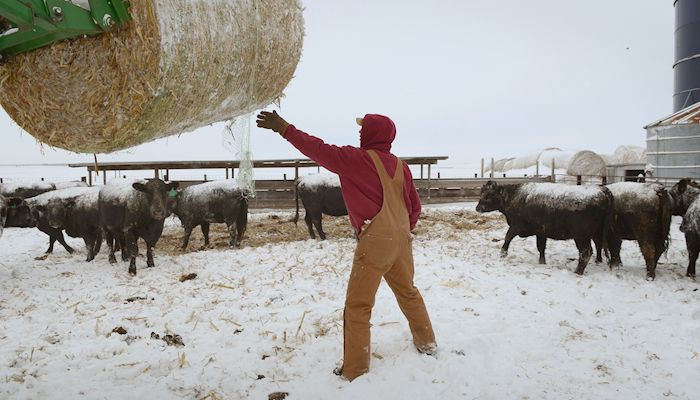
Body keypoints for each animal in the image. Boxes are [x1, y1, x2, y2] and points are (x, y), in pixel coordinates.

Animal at [476, 181, 612, 276]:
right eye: (481, 193)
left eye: (488, 195)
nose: (477, 208)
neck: (513, 197)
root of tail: (601, 190)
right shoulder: (541, 232)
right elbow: (541, 247)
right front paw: (542, 262)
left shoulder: (517, 226)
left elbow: (507, 237)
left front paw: (503, 253)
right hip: (597, 232)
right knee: (599, 245)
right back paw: (598, 262)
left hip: (581, 236)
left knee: (586, 252)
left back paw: (578, 272)